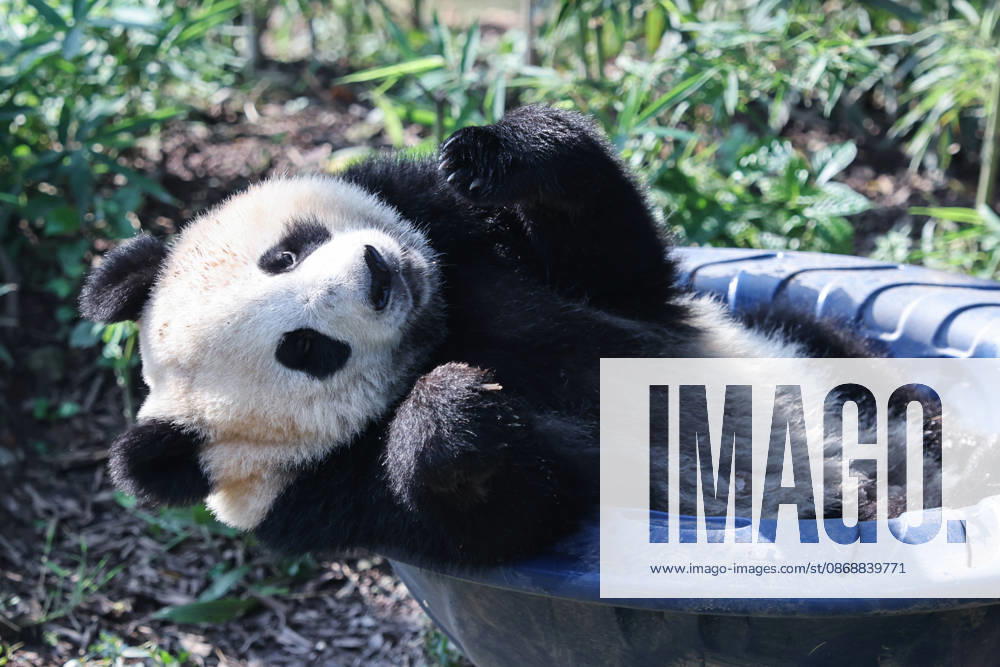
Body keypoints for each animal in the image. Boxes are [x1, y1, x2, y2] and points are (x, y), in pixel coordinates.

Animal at [79, 105, 882, 566]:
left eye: (284, 253)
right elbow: (510, 516)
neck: (440, 325)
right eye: (304, 348)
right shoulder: (328, 497)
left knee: (839, 350)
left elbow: (619, 263)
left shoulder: (485, 251)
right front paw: (452, 406)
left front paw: (495, 153)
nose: (378, 274)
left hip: (792, 346)